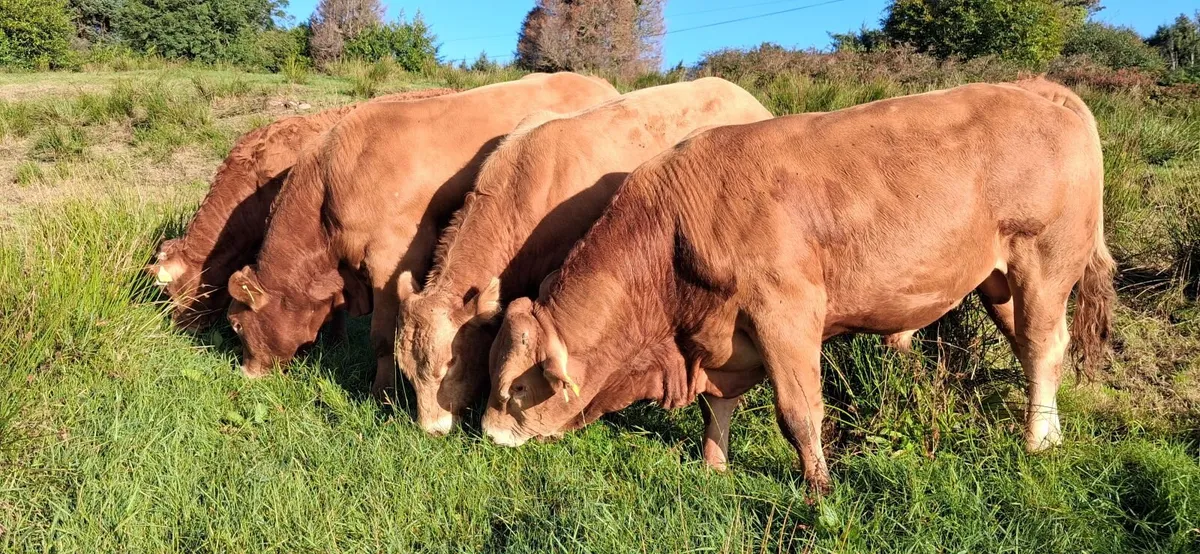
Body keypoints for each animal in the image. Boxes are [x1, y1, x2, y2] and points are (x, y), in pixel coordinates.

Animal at [480, 78, 1115, 493]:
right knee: (1030, 350)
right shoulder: (725, 340)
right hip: (998, 280)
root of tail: (1037, 88)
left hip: (1044, 264)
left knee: (1045, 347)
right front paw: (713, 466)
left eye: (517, 387)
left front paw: (819, 489)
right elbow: (718, 405)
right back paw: (1049, 432)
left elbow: (799, 411)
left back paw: (1037, 441)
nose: (486, 436)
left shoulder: (785, 314)